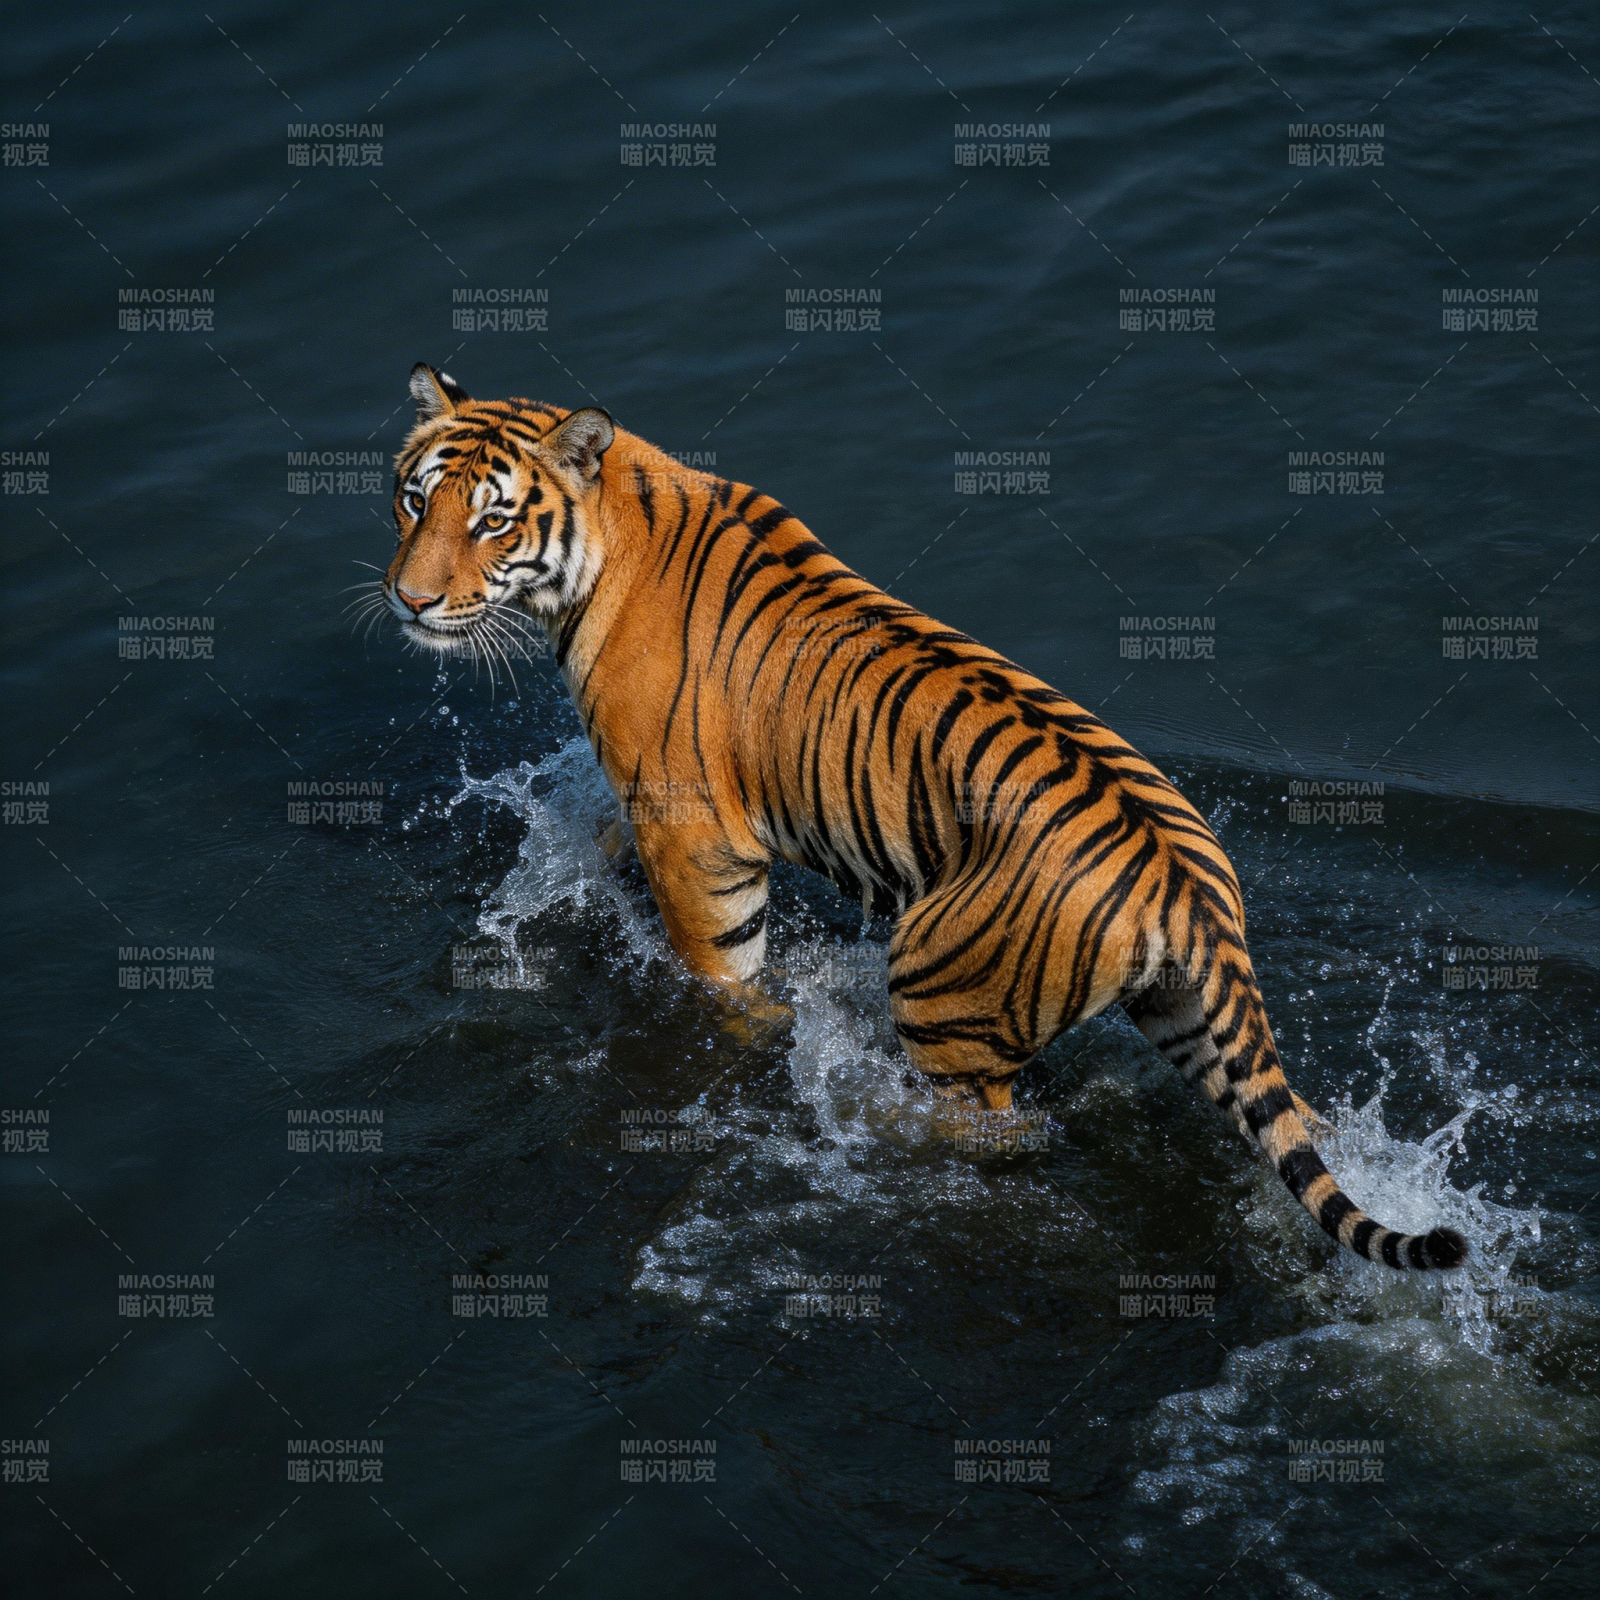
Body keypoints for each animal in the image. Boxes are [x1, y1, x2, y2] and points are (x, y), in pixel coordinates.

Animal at [375, 362, 1467, 1273]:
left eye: (492, 523)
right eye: (416, 500)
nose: (408, 601)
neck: (603, 544)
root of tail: (1182, 885)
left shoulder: (697, 839)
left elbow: (719, 979)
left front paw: (755, 1023)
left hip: (937, 988)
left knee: (994, 1126)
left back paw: (855, 1106)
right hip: (1189, 1020)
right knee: (1292, 1121)